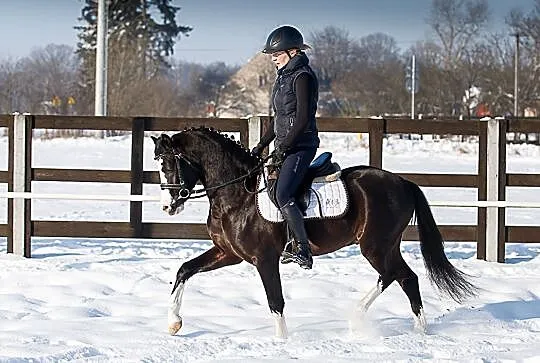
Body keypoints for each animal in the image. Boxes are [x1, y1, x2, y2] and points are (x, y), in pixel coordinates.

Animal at [150, 127, 474, 338]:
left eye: (169, 164)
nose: (167, 207)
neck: (237, 193)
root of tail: (404, 182)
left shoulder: (264, 259)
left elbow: (275, 301)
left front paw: (282, 343)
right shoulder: (228, 253)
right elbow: (184, 270)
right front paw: (174, 323)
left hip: (375, 246)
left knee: (398, 275)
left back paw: (380, 323)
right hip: (385, 246)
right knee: (403, 277)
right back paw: (400, 327)